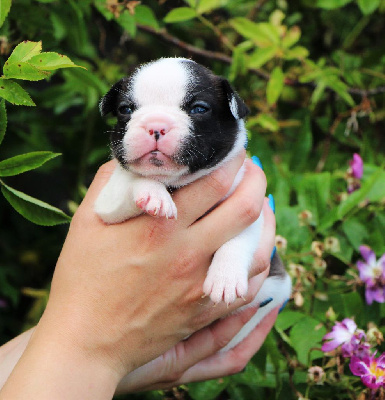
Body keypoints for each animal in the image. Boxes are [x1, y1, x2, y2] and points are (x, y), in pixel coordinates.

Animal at [94, 57, 290, 350]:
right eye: (125, 109)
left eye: (199, 109)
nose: (156, 125)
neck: (176, 182)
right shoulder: (107, 202)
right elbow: (134, 180)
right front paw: (153, 194)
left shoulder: (250, 208)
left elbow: (237, 239)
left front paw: (225, 278)